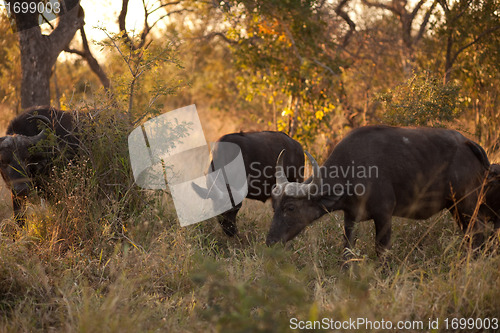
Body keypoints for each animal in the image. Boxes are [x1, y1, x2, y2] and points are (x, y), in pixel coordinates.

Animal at [266, 126, 492, 253]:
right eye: (274, 207)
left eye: (290, 208)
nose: (270, 241)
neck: (354, 168)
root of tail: (468, 143)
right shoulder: (350, 217)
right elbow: (347, 248)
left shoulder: (384, 215)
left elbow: (381, 250)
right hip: (455, 207)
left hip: (467, 203)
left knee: (478, 231)